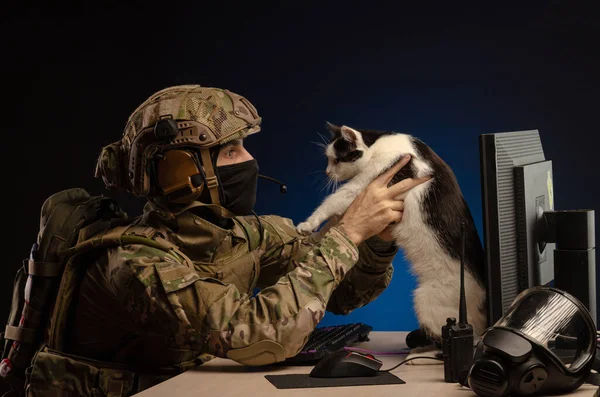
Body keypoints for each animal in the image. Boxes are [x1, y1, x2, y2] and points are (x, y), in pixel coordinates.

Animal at [300, 122, 488, 360]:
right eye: (328, 158)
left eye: (336, 159)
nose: (327, 172)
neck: (377, 146)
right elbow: (336, 220)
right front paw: (315, 236)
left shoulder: (365, 183)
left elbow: (333, 202)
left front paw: (307, 224)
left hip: (427, 299)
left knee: (460, 338)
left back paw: (423, 352)